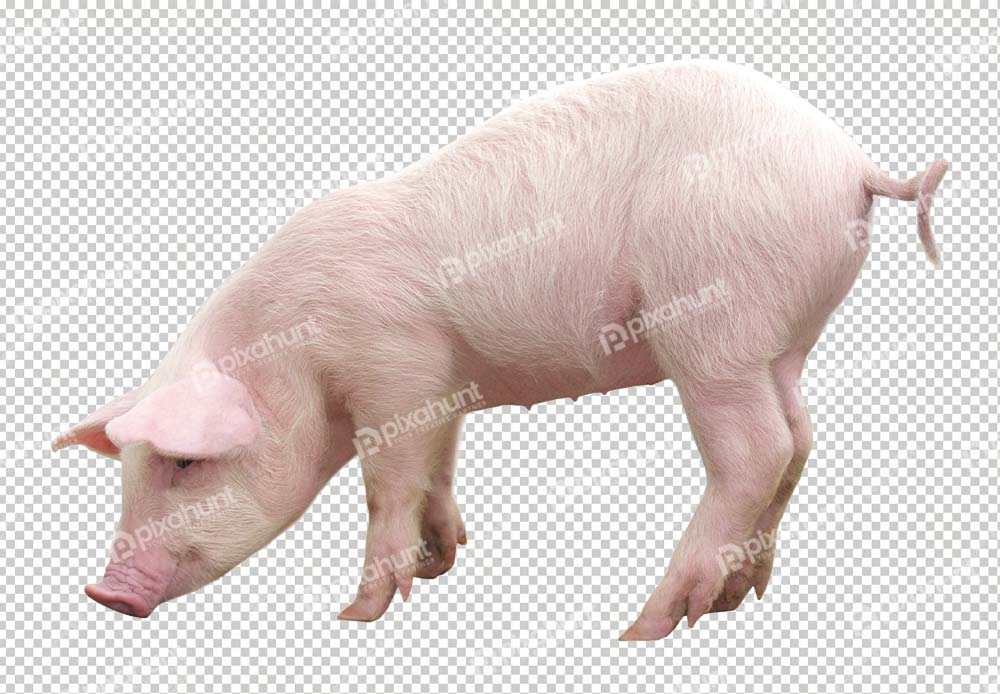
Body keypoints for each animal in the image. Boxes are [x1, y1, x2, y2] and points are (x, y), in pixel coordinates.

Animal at [52, 59, 948, 640]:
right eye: (130, 470)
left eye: (185, 464)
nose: (102, 592)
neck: (295, 351)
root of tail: (852, 161)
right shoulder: (442, 381)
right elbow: (436, 469)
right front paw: (442, 560)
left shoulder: (394, 367)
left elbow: (386, 484)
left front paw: (357, 614)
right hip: (783, 340)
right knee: (799, 439)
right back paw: (740, 597)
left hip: (714, 319)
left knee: (755, 450)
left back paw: (650, 624)